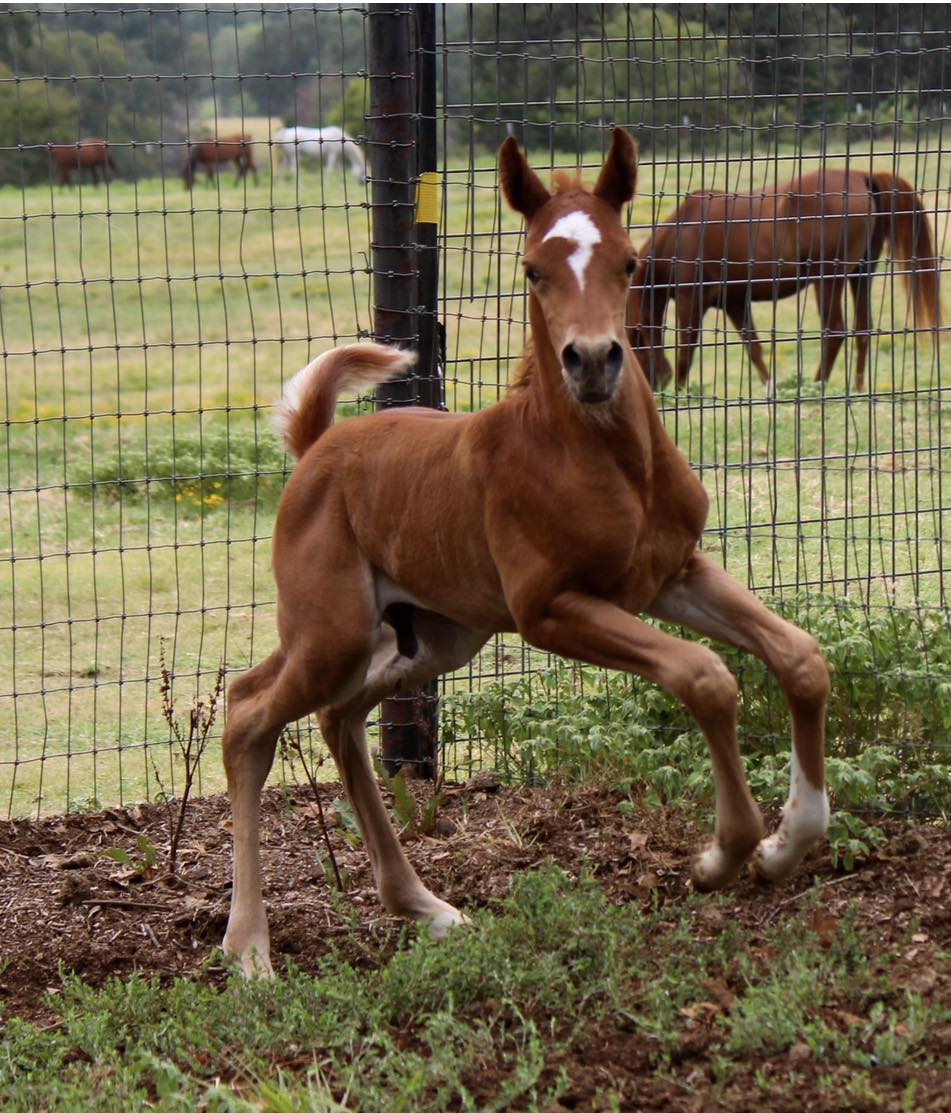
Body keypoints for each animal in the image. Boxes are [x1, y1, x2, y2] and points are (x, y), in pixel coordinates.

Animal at [220, 129, 830, 978]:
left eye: (629, 261)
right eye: (533, 269)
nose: (594, 360)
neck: (609, 463)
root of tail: (317, 448)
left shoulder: (673, 573)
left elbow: (800, 657)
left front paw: (784, 844)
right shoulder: (549, 609)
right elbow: (704, 677)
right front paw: (722, 855)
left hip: (434, 636)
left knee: (340, 720)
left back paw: (426, 906)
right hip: (331, 632)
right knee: (248, 714)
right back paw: (249, 950)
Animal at [629, 169, 942, 391]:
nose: (652, 387)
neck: (681, 234)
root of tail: (862, 177)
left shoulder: (690, 300)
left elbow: (686, 348)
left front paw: (680, 392)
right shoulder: (734, 302)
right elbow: (753, 346)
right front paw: (770, 388)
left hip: (828, 279)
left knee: (835, 331)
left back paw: (818, 385)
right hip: (860, 275)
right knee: (862, 329)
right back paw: (858, 388)